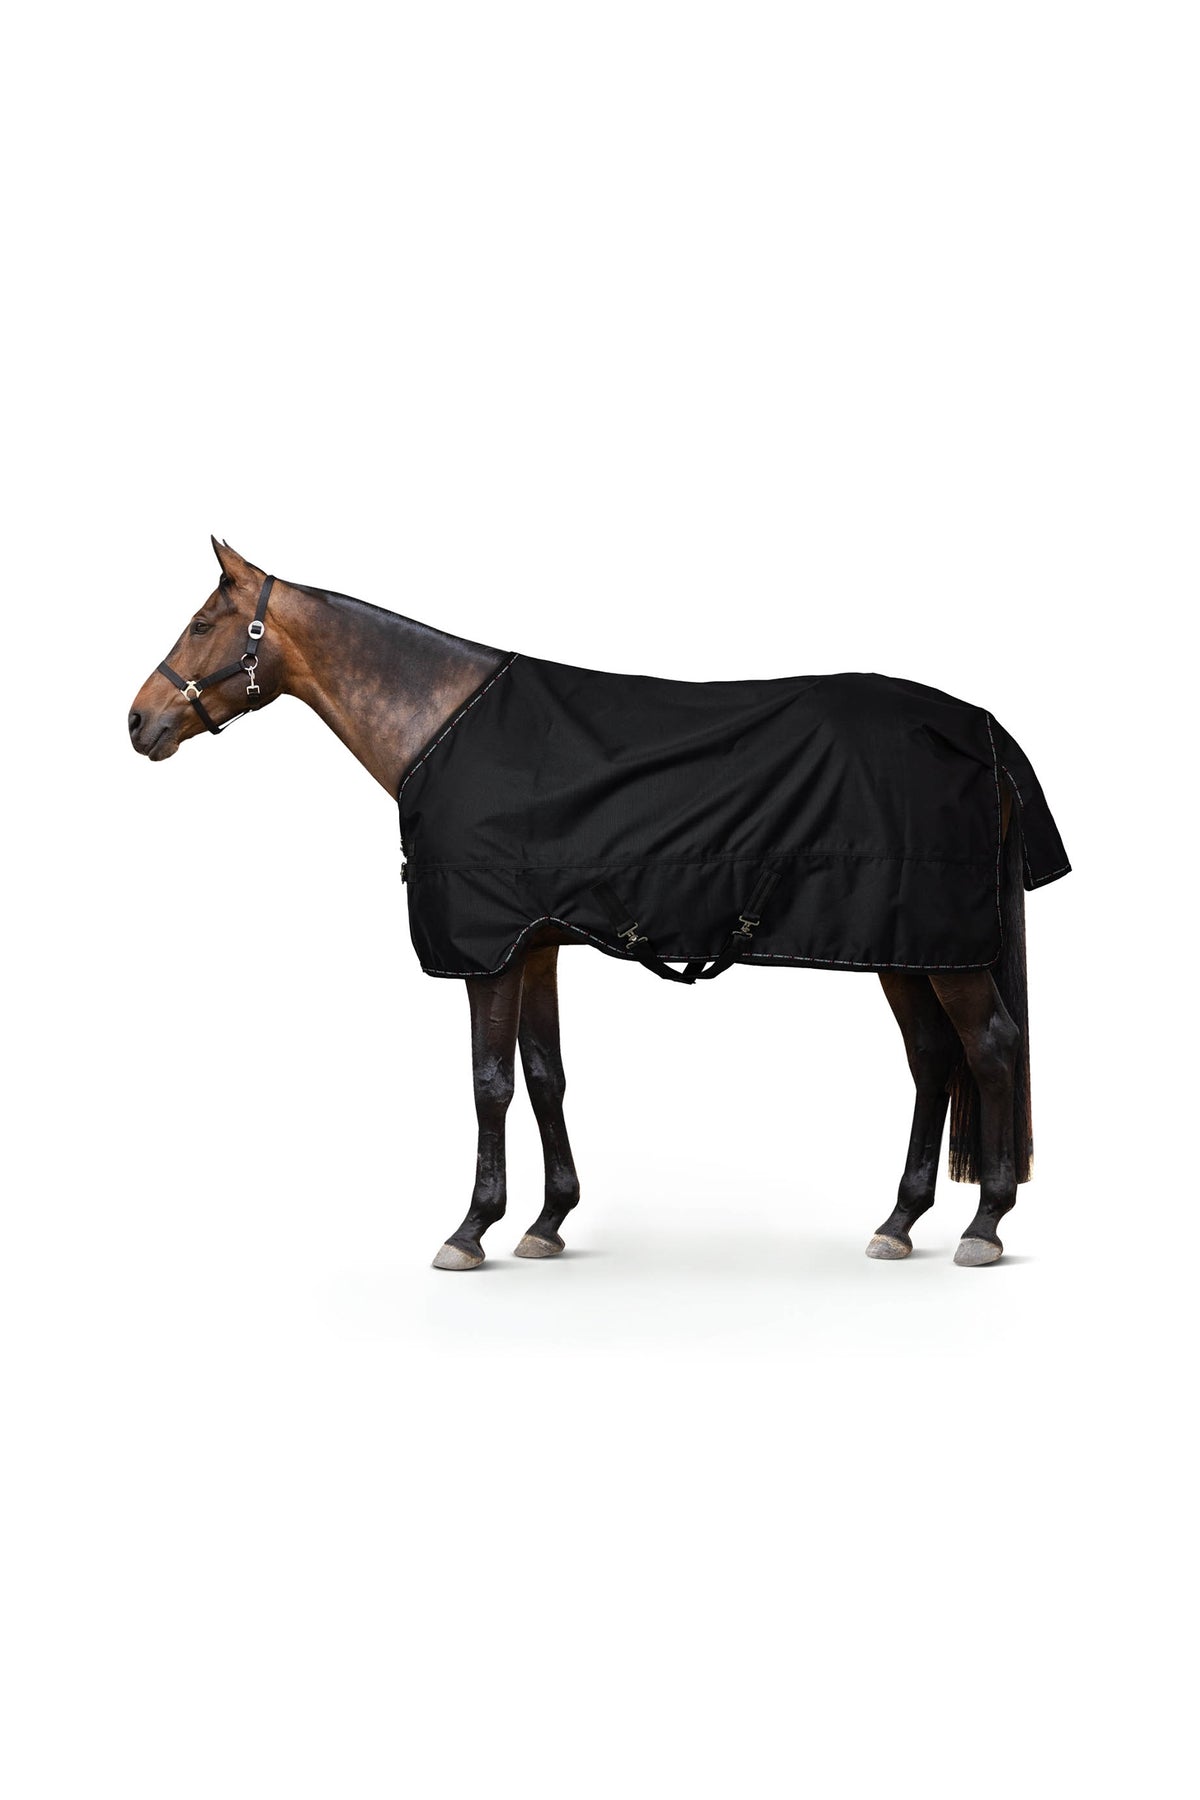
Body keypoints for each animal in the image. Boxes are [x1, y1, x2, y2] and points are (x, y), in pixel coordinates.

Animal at [129, 538, 1068, 1271]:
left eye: (203, 624)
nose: (138, 722)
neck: (441, 725)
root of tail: (980, 727)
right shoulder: (536, 943)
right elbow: (546, 1074)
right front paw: (547, 1222)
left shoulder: (488, 951)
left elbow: (490, 1083)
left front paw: (471, 1229)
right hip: (905, 945)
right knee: (932, 1060)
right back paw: (900, 1221)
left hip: (940, 947)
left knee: (989, 1049)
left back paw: (985, 1224)